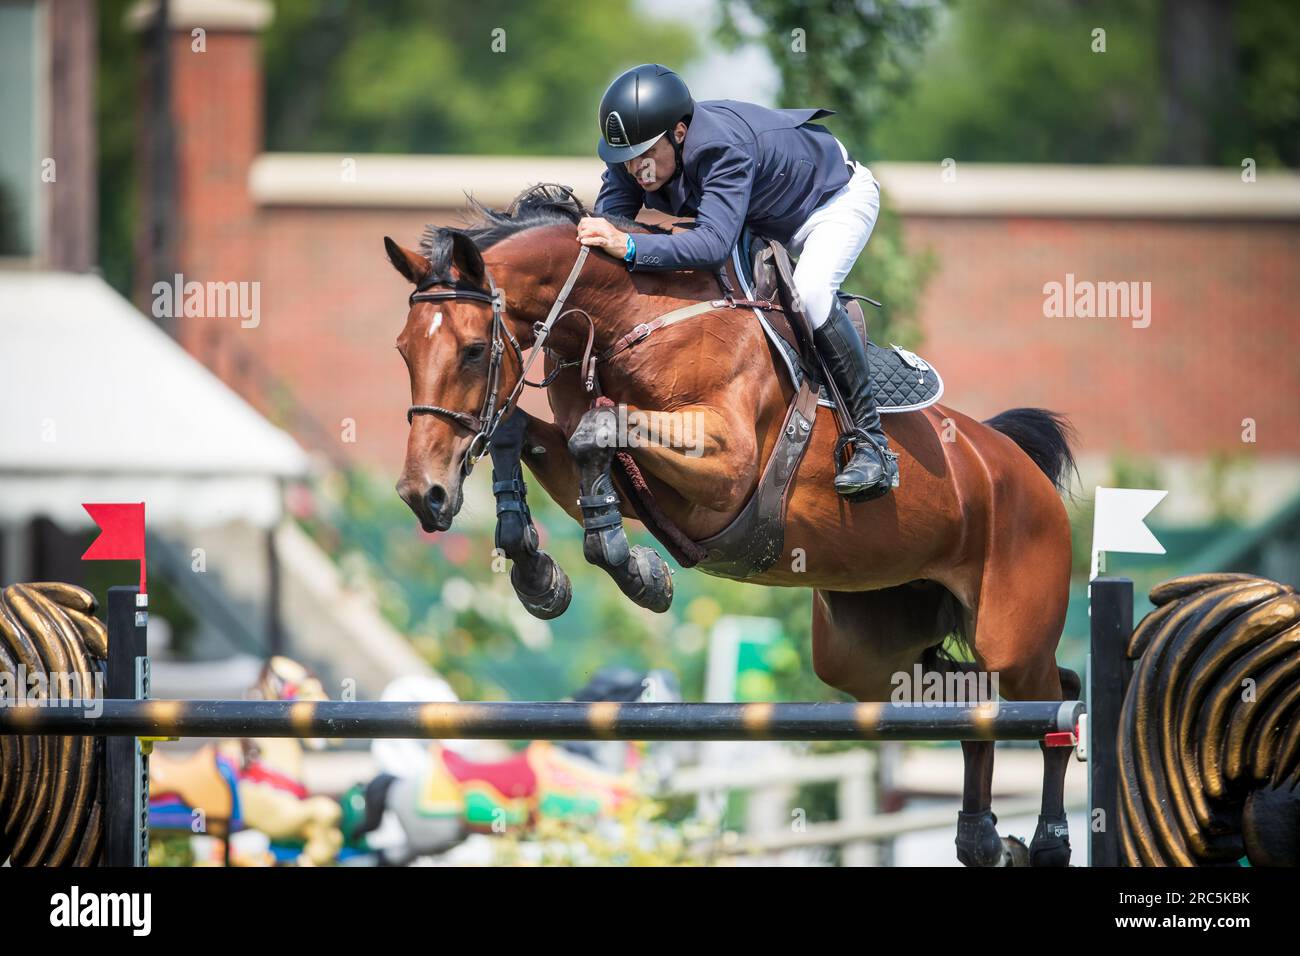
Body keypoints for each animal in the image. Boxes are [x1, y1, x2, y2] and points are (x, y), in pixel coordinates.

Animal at [382, 184, 1076, 868]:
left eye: (474, 351)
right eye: (404, 351)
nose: (424, 495)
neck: (628, 322)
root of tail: (1015, 465)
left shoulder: (725, 469)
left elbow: (595, 434)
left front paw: (638, 573)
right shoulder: (638, 485)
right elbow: (523, 433)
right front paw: (540, 575)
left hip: (1011, 641)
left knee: (1049, 694)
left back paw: (1046, 838)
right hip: (867, 656)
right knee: (970, 699)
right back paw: (984, 839)